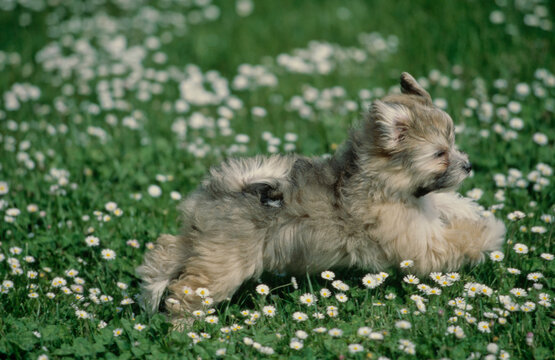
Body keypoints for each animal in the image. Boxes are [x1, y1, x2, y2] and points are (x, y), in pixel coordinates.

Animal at [137, 71, 506, 324]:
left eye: (452, 144)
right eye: (440, 154)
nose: (468, 165)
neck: (385, 182)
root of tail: (226, 187)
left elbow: (441, 203)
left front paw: (468, 207)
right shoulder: (418, 244)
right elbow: (455, 240)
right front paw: (491, 231)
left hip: (202, 243)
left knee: (167, 250)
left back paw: (149, 291)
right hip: (222, 263)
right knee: (188, 290)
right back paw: (181, 327)